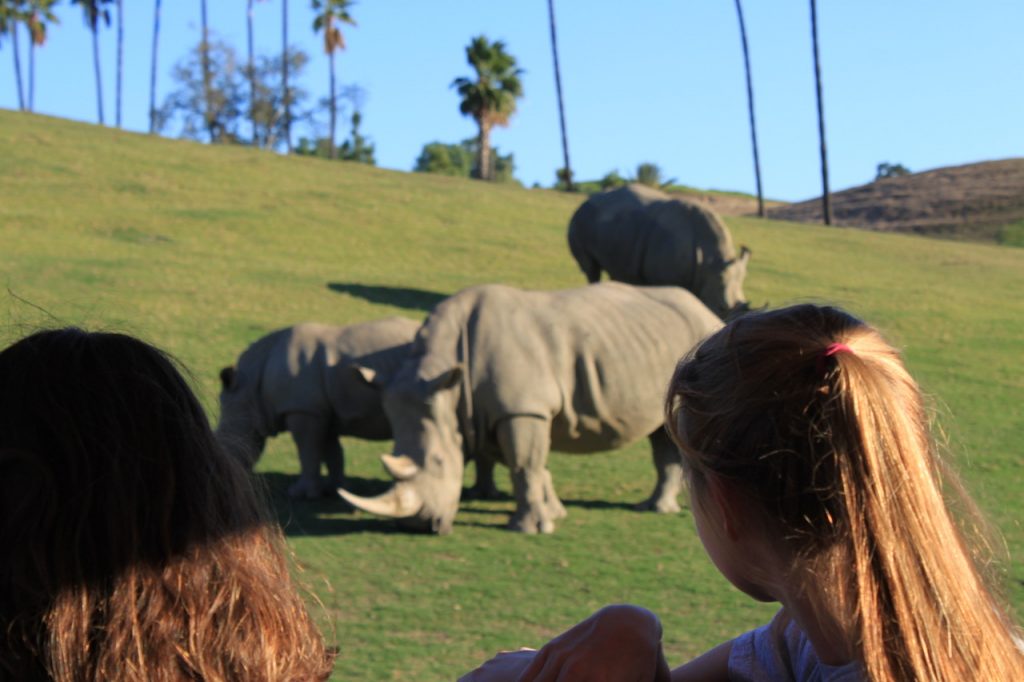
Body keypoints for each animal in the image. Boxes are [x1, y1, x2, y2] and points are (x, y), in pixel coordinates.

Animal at [216, 315, 419, 497]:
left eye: (227, 437)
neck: (251, 386)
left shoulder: (303, 410)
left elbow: (307, 451)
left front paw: (301, 493)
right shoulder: (323, 412)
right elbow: (332, 452)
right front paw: (334, 490)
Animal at [339, 280, 724, 532]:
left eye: (438, 462)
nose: (421, 526)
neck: (448, 377)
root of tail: (708, 311)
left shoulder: (522, 407)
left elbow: (524, 464)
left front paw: (529, 527)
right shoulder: (494, 410)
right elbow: (532, 464)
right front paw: (554, 514)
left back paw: (656, 510)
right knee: (662, 433)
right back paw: (653, 507)